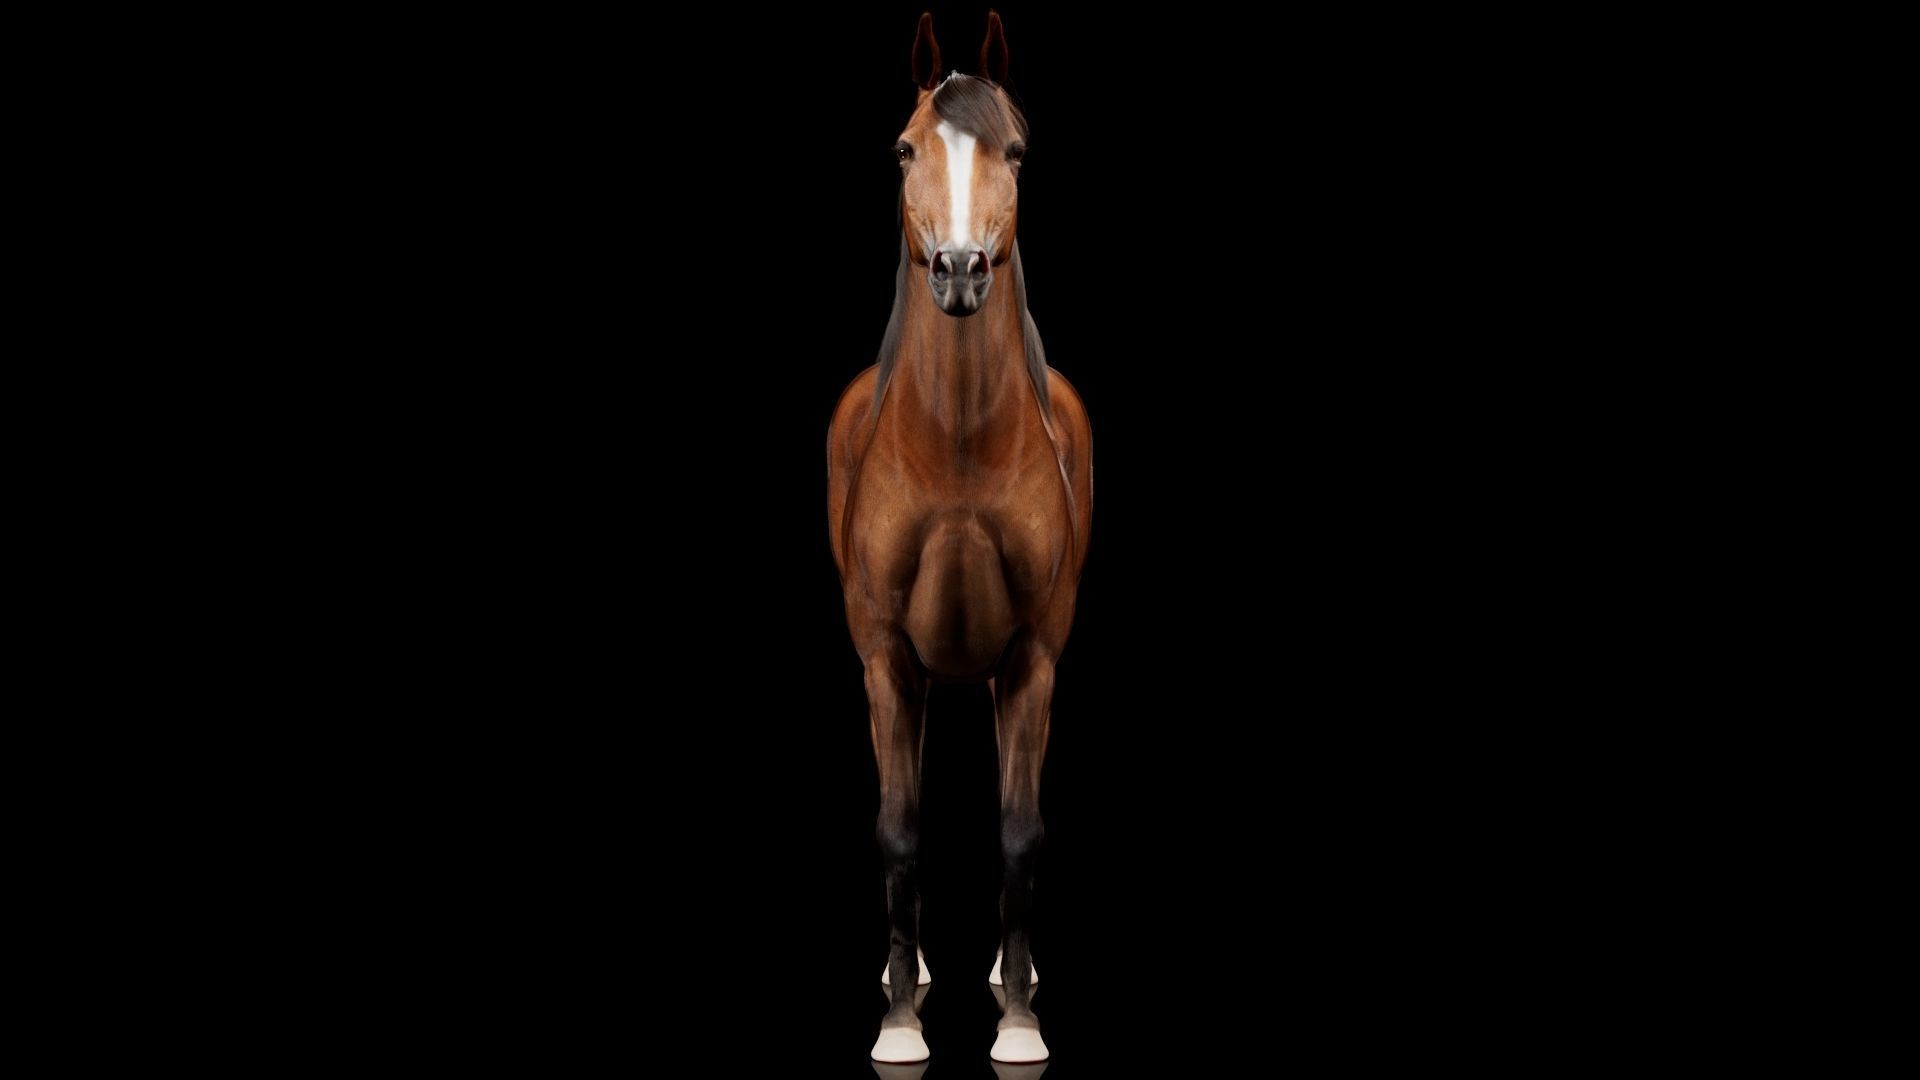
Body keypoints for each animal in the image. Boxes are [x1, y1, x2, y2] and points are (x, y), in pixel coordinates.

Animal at [827, 11, 1093, 1067]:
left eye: (1014, 151)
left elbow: (1020, 831)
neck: (960, 448)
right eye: (905, 149)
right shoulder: (886, 660)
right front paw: (900, 1024)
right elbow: (898, 830)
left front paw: (1018, 1023)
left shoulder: (1031, 661)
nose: (959, 272)